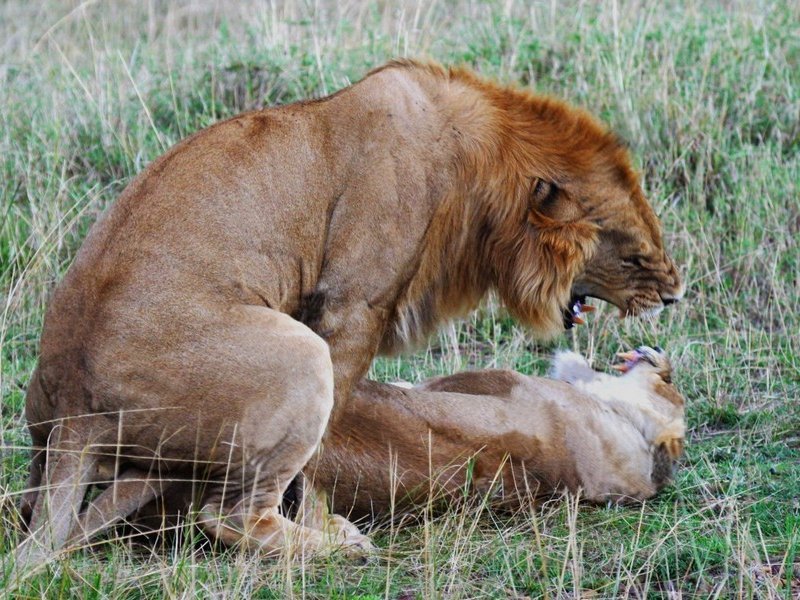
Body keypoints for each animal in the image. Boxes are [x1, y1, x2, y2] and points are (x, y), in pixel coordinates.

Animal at [17, 58, 680, 564]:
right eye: (636, 256)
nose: (674, 297)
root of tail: (74, 412)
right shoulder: (353, 308)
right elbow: (323, 444)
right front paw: (324, 521)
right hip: (297, 356)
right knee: (230, 516)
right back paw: (336, 548)